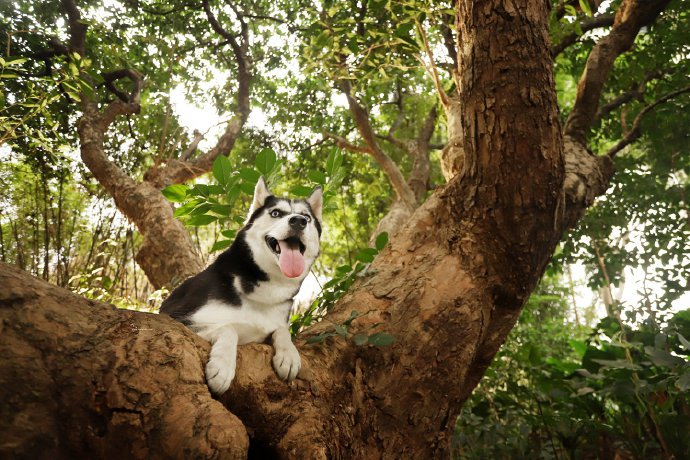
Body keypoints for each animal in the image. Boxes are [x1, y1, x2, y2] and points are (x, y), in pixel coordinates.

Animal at [161, 178, 322, 394]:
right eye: (275, 213)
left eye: (307, 217)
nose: (298, 221)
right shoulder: (179, 318)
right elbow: (228, 327)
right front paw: (222, 367)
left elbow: (282, 330)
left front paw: (289, 355)